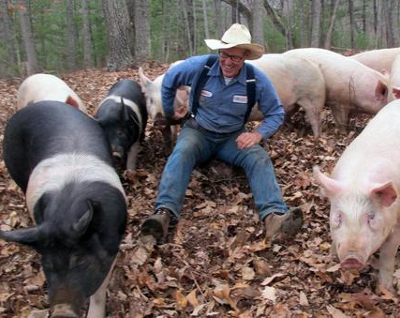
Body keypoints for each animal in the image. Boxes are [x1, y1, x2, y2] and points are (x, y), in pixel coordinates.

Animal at [0, 101, 126, 318]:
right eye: (47, 265)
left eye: (79, 260)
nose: (61, 311)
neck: (65, 214)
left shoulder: (112, 246)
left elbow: (99, 289)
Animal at [314, 100, 400, 290]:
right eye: (338, 216)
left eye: (371, 217)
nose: (351, 258)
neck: (358, 180)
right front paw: (331, 256)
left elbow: (388, 255)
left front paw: (385, 289)